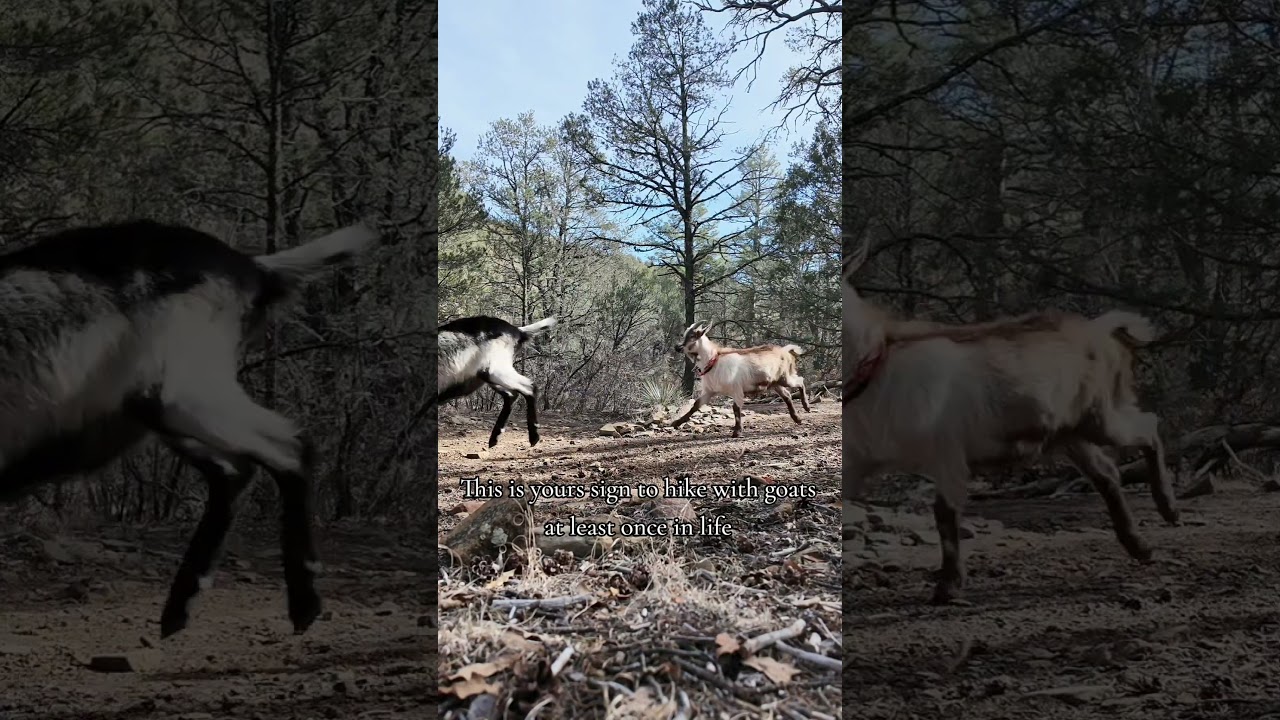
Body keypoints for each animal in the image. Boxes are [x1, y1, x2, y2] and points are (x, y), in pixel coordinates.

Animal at [0, 219, 377, 637]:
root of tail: (251, 268)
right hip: (159, 407)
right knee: (235, 470)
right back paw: (181, 607)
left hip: (183, 391)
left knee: (291, 447)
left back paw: (303, 602)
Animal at [438, 315, 556, 447]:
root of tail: (517, 331)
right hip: (488, 375)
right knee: (512, 394)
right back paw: (495, 437)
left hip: (495, 370)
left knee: (529, 387)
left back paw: (533, 436)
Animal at [671, 321, 811, 437]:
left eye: (692, 336)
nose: (677, 347)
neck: (714, 360)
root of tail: (785, 351)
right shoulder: (710, 391)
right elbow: (695, 405)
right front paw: (676, 423)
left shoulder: (736, 389)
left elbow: (736, 408)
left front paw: (737, 431)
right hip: (774, 383)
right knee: (787, 395)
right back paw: (797, 418)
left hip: (785, 377)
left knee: (800, 381)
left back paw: (806, 407)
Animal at [843, 238, 1178, 605]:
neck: (876, 364)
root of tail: (1099, 328)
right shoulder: (858, 459)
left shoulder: (947, 452)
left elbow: (945, 514)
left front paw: (949, 585)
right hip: (1069, 432)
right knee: (1107, 473)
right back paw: (1140, 546)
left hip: (1100, 414)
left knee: (1149, 426)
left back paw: (1168, 509)